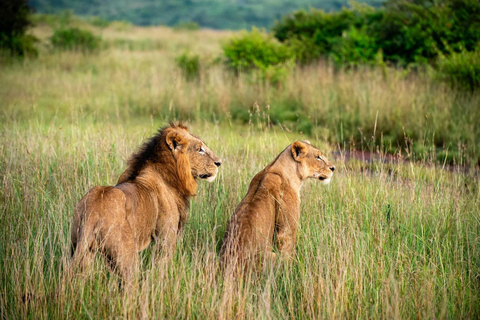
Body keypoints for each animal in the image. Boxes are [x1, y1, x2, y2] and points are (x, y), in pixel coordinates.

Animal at [71, 122, 221, 282]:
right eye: (200, 149)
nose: (219, 163)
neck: (170, 175)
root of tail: (94, 209)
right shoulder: (166, 237)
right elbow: (161, 266)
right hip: (126, 256)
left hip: (81, 249)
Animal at [219, 140, 332, 268]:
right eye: (318, 157)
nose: (333, 168)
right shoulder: (287, 229)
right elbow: (288, 250)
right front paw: (291, 269)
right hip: (271, 256)